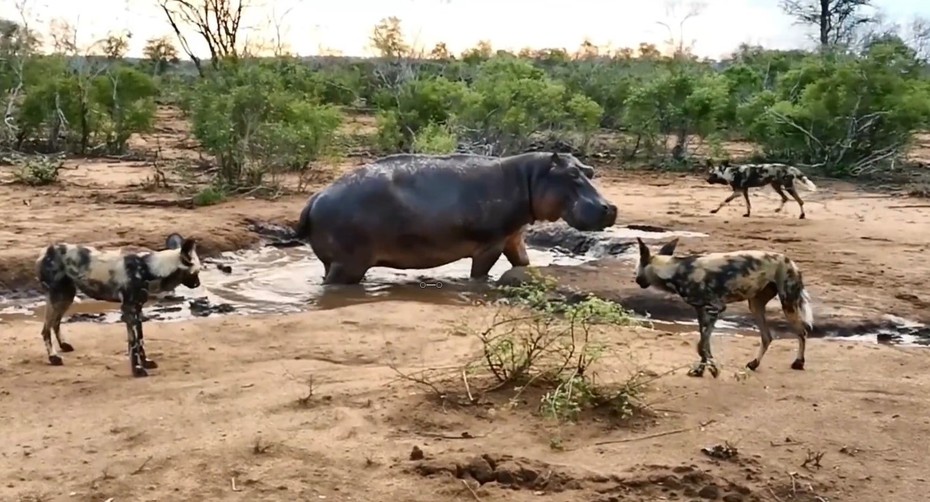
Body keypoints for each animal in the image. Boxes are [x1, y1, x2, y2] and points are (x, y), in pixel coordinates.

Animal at [36, 232, 201, 376]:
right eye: (197, 272)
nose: (198, 284)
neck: (150, 269)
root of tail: (46, 250)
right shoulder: (129, 311)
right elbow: (134, 344)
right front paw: (138, 370)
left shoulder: (137, 309)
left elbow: (140, 340)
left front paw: (145, 362)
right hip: (59, 297)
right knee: (45, 329)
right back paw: (53, 357)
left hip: (66, 297)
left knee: (55, 322)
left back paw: (63, 346)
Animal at [636, 237, 808, 378]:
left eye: (639, 268)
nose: (637, 280)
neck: (675, 271)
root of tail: (789, 260)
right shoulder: (701, 311)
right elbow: (704, 344)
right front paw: (701, 370)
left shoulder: (716, 308)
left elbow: (702, 345)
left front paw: (713, 370)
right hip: (755, 306)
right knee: (767, 336)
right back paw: (754, 364)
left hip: (788, 304)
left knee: (802, 332)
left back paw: (798, 363)